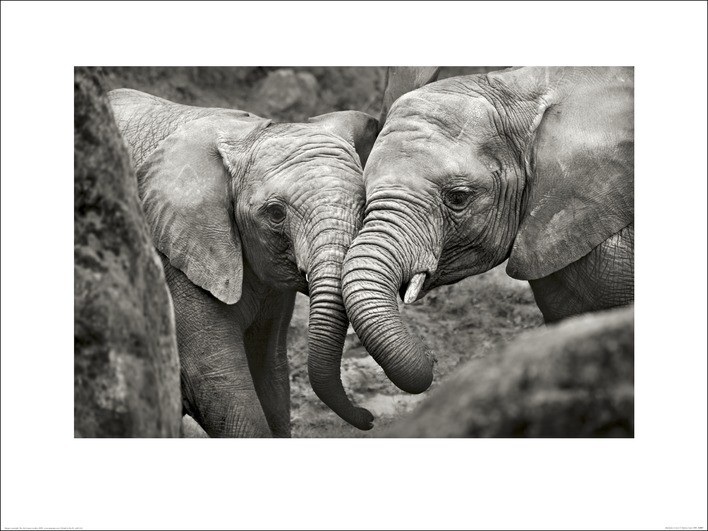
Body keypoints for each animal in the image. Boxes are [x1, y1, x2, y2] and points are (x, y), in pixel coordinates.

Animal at [108, 88, 378, 436]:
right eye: (275, 214)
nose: (369, 418)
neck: (246, 135)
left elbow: (271, 373)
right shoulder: (174, 261)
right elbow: (215, 380)